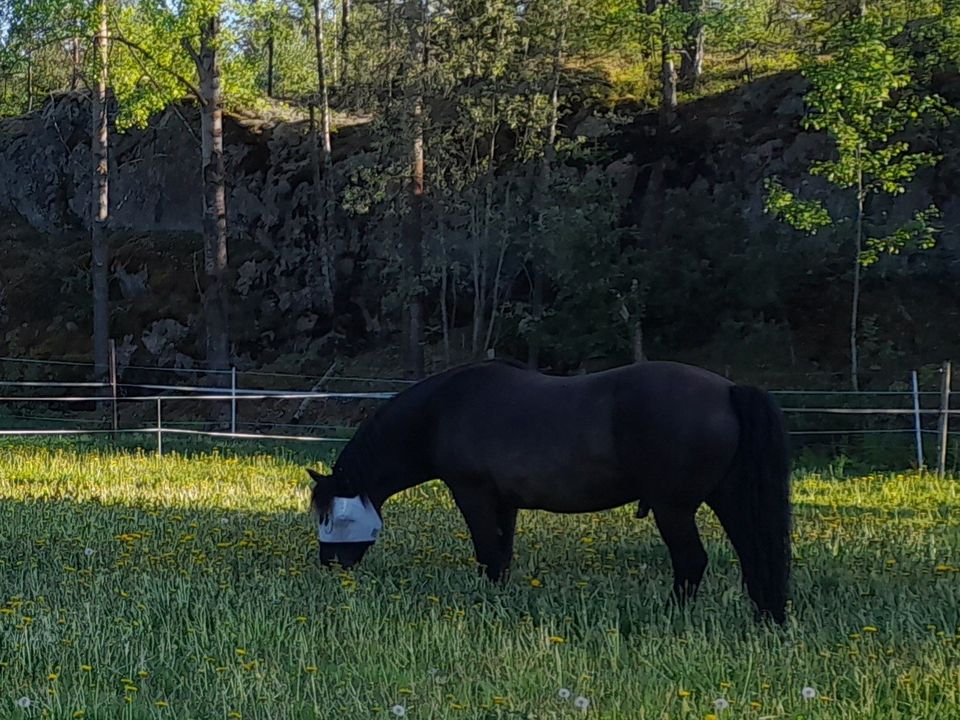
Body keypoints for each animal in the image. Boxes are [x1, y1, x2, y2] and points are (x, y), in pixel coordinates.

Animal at [312, 360, 792, 624]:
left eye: (338, 517)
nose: (330, 565)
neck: (441, 412)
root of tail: (728, 390)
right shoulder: (504, 503)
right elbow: (502, 556)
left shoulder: (472, 494)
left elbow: (487, 553)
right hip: (728, 498)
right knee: (754, 553)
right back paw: (766, 617)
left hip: (673, 508)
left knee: (692, 561)